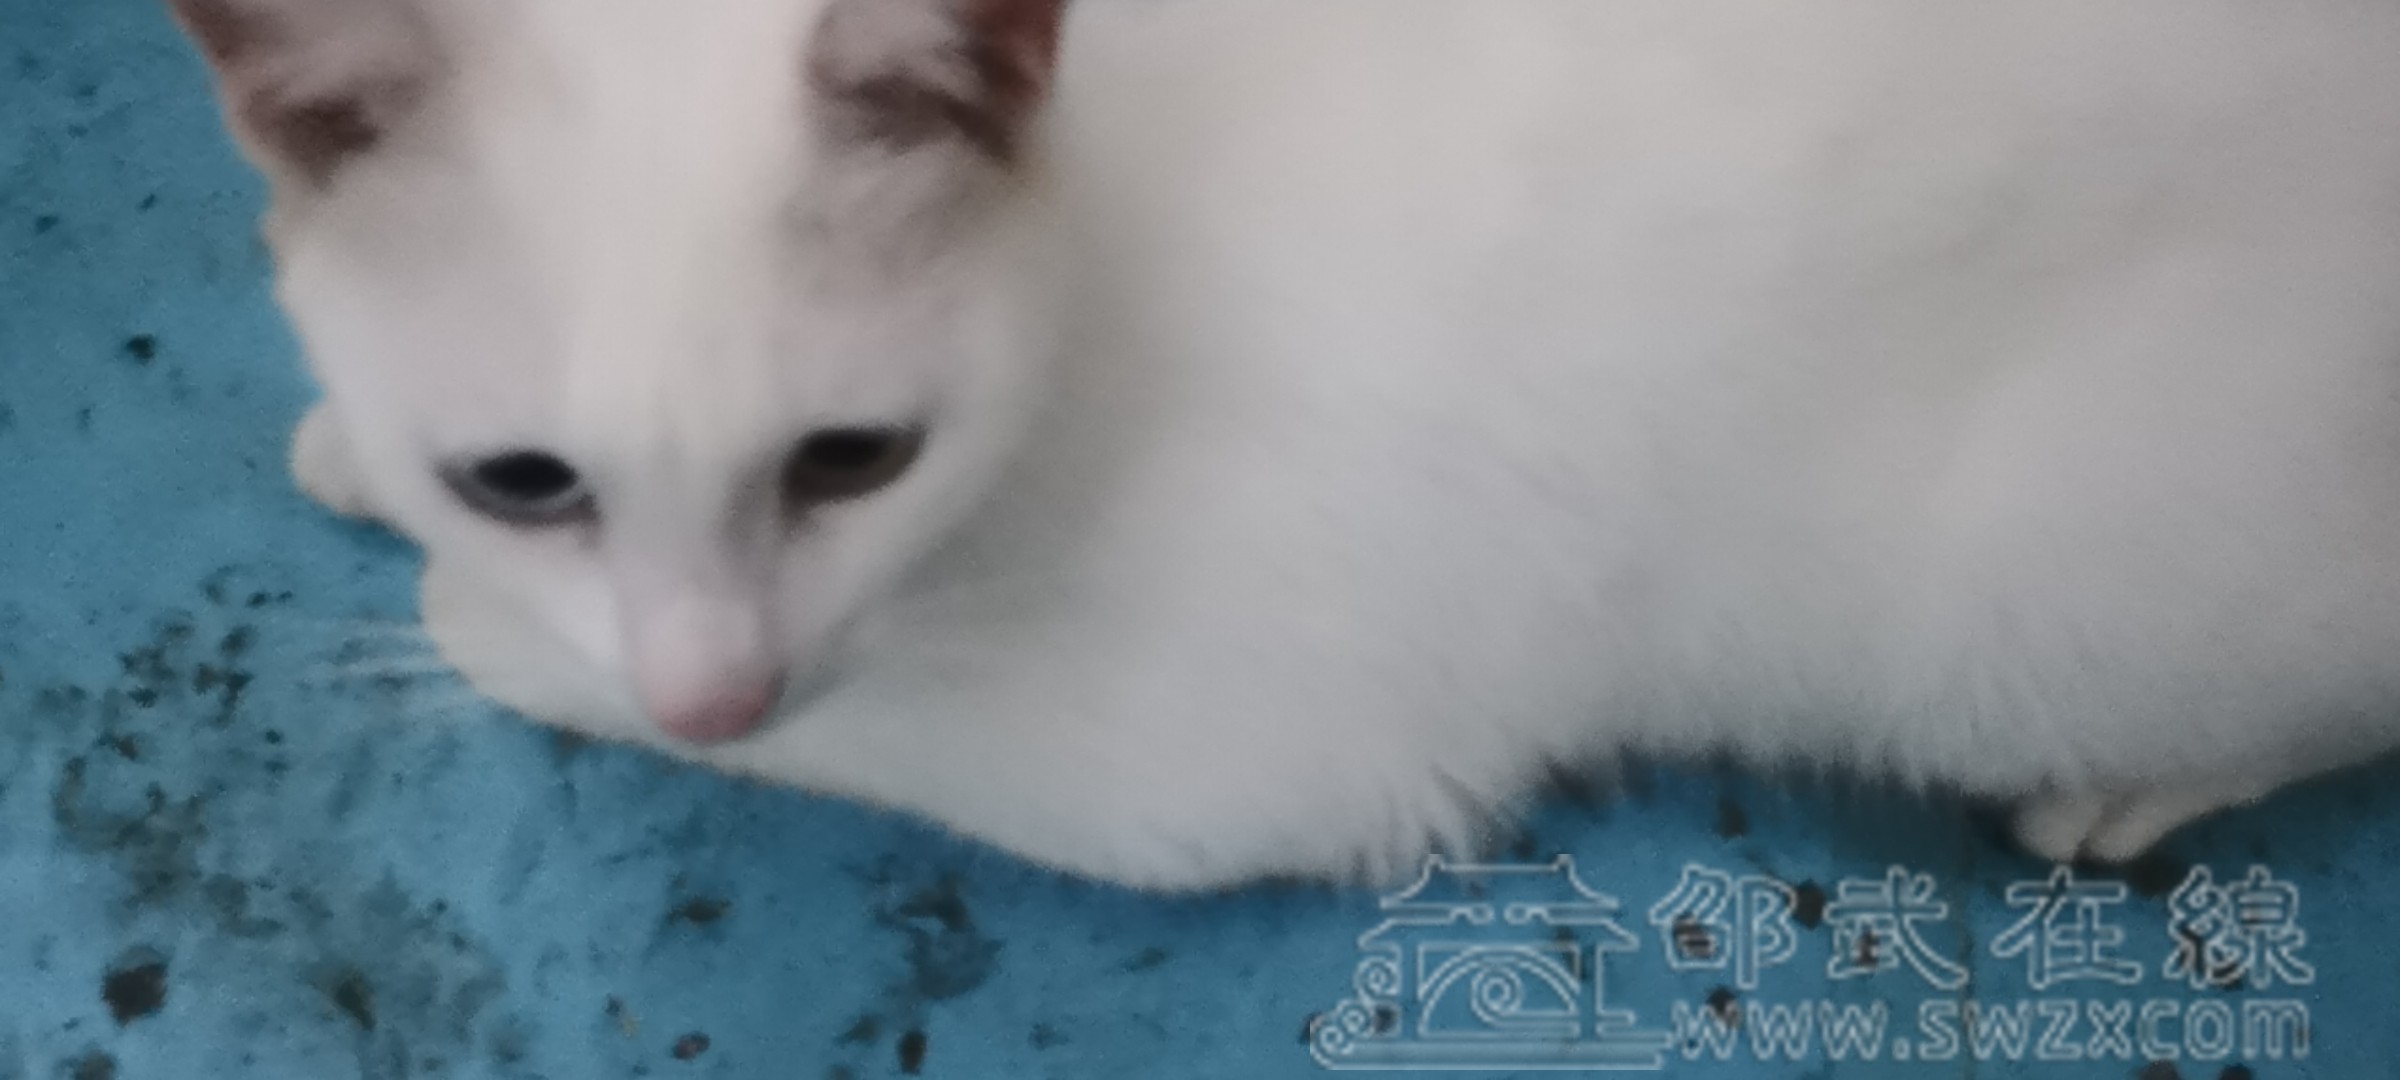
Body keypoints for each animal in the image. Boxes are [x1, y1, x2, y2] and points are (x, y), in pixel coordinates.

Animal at [167, 0, 2400, 890]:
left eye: (849, 461)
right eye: (526, 477)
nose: (706, 693)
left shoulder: (1231, 761)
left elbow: (821, 719)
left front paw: (472, 629)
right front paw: (363, 464)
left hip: (2025, 603)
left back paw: (2134, 785)